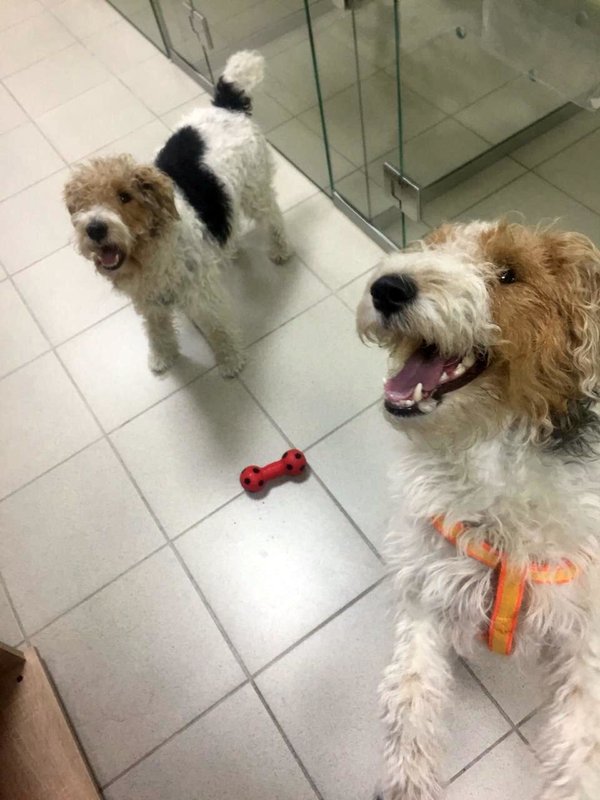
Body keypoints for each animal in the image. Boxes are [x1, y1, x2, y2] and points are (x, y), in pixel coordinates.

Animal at [64, 51, 291, 378]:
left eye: (125, 196)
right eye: (81, 202)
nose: (95, 229)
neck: (152, 249)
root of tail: (226, 105)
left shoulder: (203, 295)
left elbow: (219, 329)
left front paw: (230, 361)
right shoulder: (151, 302)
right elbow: (157, 331)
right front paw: (163, 357)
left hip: (254, 191)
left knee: (273, 216)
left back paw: (281, 250)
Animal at [357, 220, 600, 800]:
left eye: (508, 273)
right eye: (432, 245)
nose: (388, 287)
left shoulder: (587, 625)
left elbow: (581, 749)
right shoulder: (425, 585)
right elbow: (410, 697)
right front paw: (408, 783)